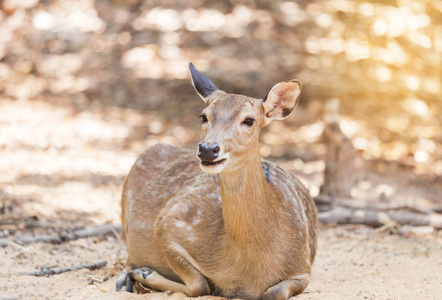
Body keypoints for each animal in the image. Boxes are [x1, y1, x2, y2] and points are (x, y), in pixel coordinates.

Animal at [115, 62, 318, 298]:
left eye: (249, 120)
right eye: (203, 116)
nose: (207, 149)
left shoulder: (303, 268)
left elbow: (273, 292)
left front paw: (145, 273)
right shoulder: (168, 225)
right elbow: (200, 285)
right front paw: (145, 272)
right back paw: (128, 278)